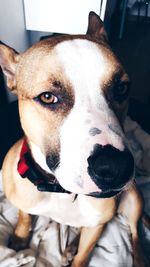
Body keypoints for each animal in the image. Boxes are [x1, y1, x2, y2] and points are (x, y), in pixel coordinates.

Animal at [0, 11, 150, 266]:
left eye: (121, 88)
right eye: (48, 97)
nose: (115, 167)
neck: (59, 191)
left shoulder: (98, 225)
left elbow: (84, 254)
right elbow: (24, 216)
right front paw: (20, 236)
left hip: (133, 201)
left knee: (135, 232)